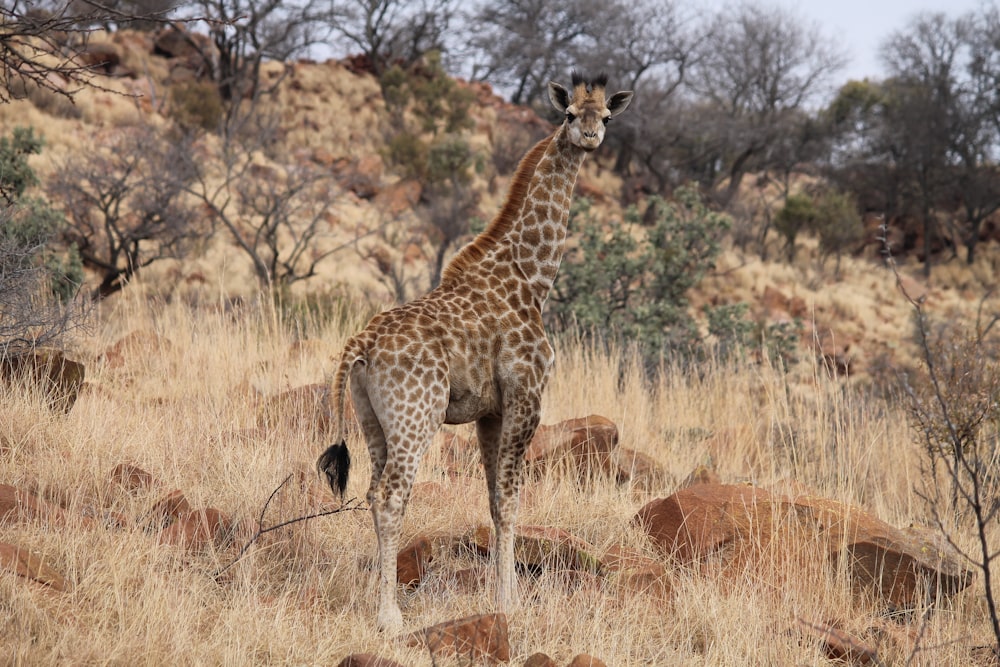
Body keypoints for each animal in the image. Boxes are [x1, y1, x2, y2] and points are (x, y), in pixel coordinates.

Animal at [316, 73, 636, 632]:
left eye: (606, 116)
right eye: (569, 114)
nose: (591, 136)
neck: (530, 277)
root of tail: (362, 344)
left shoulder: (490, 411)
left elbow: (492, 499)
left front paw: (502, 596)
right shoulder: (526, 396)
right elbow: (509, 500)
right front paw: (510, 603)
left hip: (371, 419)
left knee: (373, 491)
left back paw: (378, 603)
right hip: (416, 417)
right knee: (392, 494)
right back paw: (390, 617)